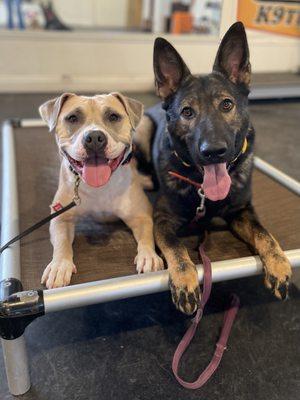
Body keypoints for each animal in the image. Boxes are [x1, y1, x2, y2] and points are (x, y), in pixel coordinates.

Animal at [39, 92, 163, 290]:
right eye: (72, 118)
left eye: (113, 116)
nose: (95, 137)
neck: (100, 187)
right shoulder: (61, 217)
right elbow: (62, 241)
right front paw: (60, 265)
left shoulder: (141, 215)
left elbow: (146, 236)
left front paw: (148, 256)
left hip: (144, 126)